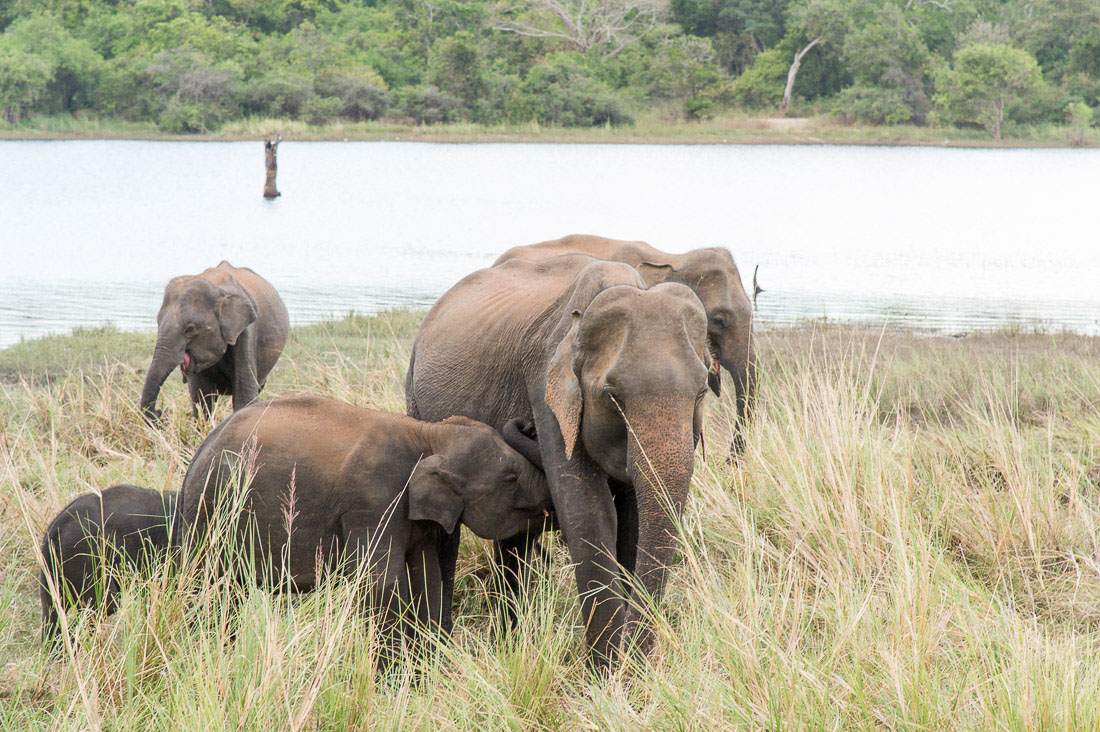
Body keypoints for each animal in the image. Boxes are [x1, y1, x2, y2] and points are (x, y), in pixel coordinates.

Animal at [139, 260, 290, 422]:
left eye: (190, 328)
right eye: (158, 322)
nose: (161, 412)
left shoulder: (247, 331)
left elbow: (244, 396)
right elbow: (202, 396)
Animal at [178, 394, 550, 638]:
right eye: (510, 478)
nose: (530, 423)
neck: (429, 435)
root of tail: (199, 451)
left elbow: (427, 577)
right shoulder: (375, 502)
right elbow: (381, 583)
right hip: (212, 513)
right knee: (209, 584)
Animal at [407, 253, 712, 669]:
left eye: (702, 392)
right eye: (612, 396)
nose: (523, 424)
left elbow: (633, 522)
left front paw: (629, 671)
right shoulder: (546, 390)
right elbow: (588, 513)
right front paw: (607, 673)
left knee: (513, 537)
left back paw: (508, 641)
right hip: (415, 399)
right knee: (444, 530)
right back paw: (439, 648)